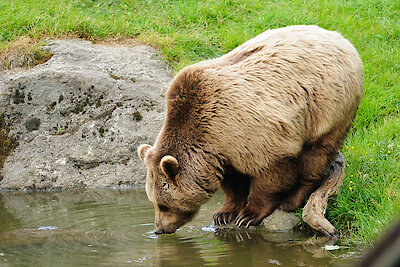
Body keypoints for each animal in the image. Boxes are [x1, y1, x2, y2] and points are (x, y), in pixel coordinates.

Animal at [138, 25, 362, 234]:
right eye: (153, 202)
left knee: (317, 153)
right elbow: (233, 180)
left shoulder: (253, 132)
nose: (159, 229)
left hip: (326, 105)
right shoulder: (222, 147)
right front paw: (224, 213)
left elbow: (271, 174)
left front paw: (248, 215)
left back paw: (292, 199)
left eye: (163, 205)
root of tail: (341, 38)